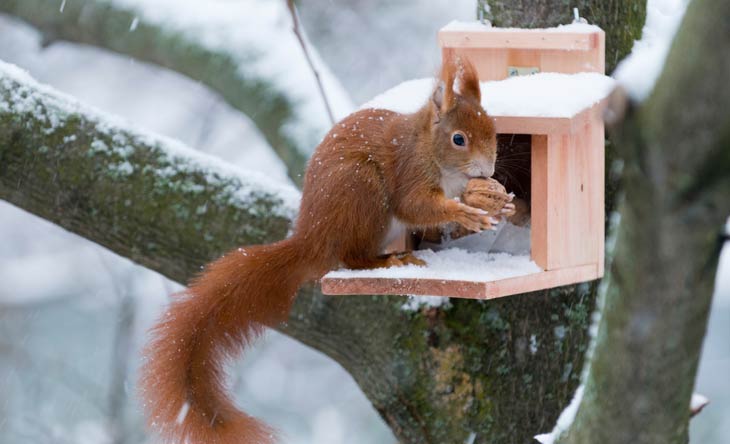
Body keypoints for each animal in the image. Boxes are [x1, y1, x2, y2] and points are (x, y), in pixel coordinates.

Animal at [139, 55, 515, 444]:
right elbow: (415, 207)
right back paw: (390, 260)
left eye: (493, 130)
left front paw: (496, 205)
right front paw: (464, 212)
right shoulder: (410, 172)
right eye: (458, 139)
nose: (487, 168)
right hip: (363, 194)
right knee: (352, 258)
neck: (430, 149)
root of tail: (312, 237)